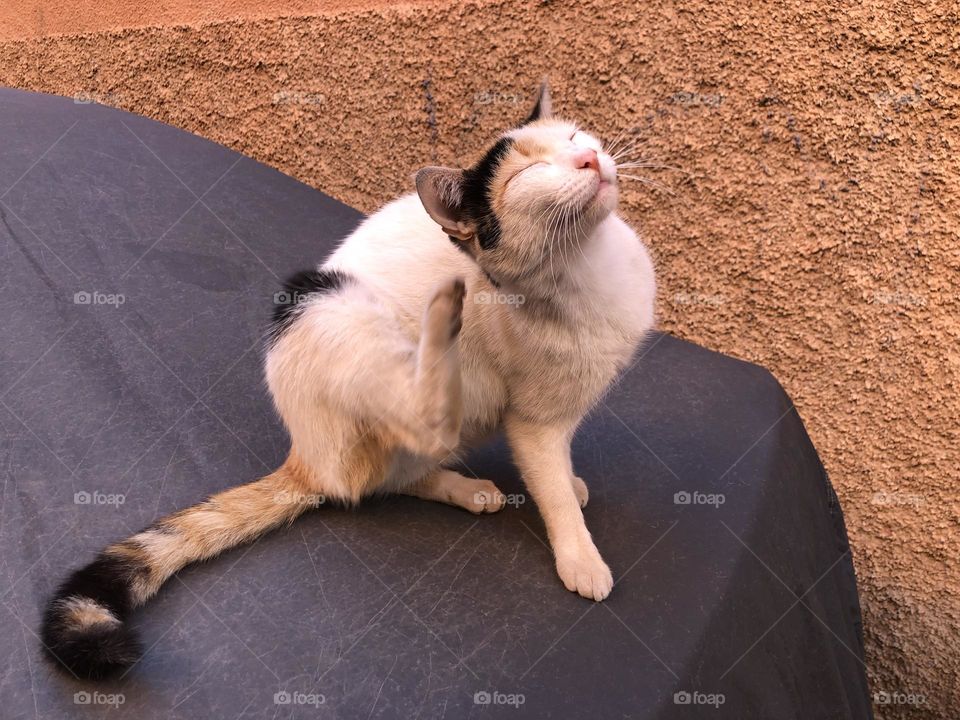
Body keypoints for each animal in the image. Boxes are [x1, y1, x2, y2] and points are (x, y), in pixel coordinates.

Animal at [43, 81, 660, 676]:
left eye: (576, 135)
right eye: (529, 173)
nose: (589, 157)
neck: (589, 269)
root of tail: (304, 453)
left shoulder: (561, 410)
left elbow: (558, 467)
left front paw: (571, 482)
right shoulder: (532, 422)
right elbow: (548, 484)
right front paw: (580, 555)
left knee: (393, 475)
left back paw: (466, 487)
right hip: (325, 302)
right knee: (398, 445)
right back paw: (445, 319)